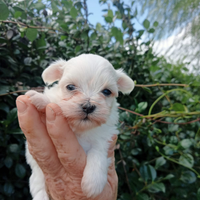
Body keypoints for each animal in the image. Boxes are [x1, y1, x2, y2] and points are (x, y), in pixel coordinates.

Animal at [25, 54, 134, 199]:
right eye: (70, 87)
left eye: (106, 91)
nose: (88, 106)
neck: (79, 128)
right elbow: (54, 103)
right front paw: (40, 99)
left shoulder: (105, 137)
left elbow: (98, 153)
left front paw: (93, 183)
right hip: (37, 176)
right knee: (38, 187)